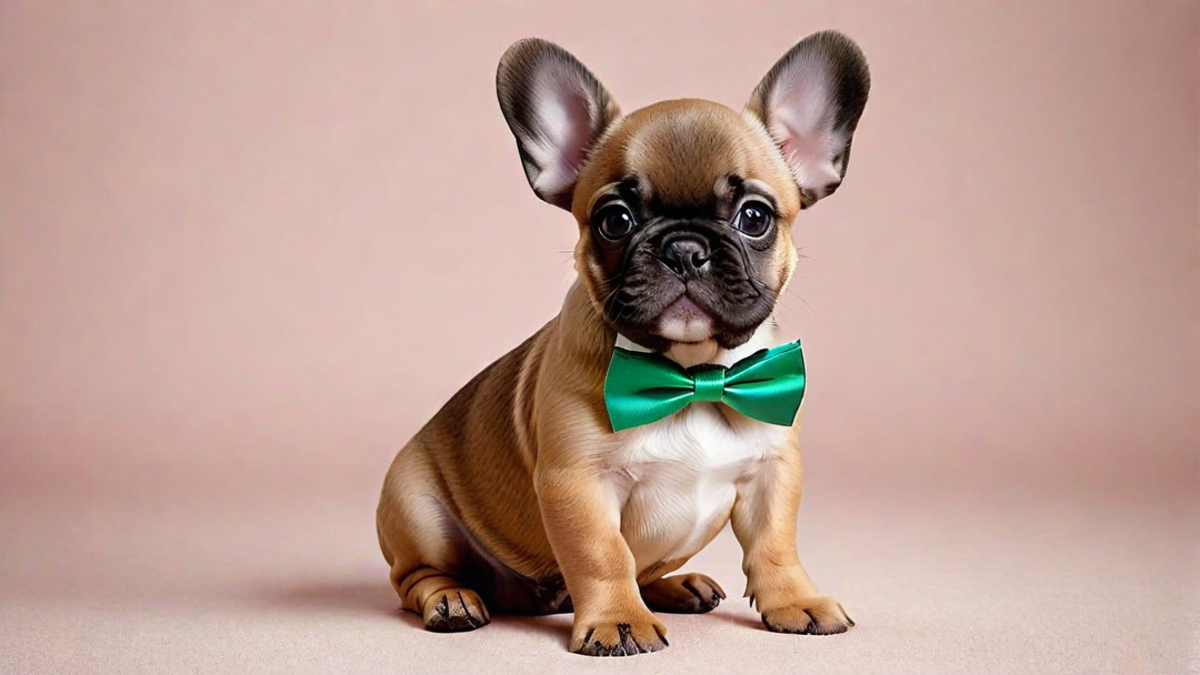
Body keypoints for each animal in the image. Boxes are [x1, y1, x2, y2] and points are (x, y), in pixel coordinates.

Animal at [376, 28, 873, 653]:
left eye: (754, 217)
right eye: (615, 220)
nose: (685, 249)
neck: (693, 375)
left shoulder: (773, 470)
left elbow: (775, 546)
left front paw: (796, 602)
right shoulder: (577, 484)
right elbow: (602, 554)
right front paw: (618, 620)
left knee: (649, 566)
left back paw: (676, 586)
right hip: (416, 508)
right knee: (417, 575)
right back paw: (453, 599)